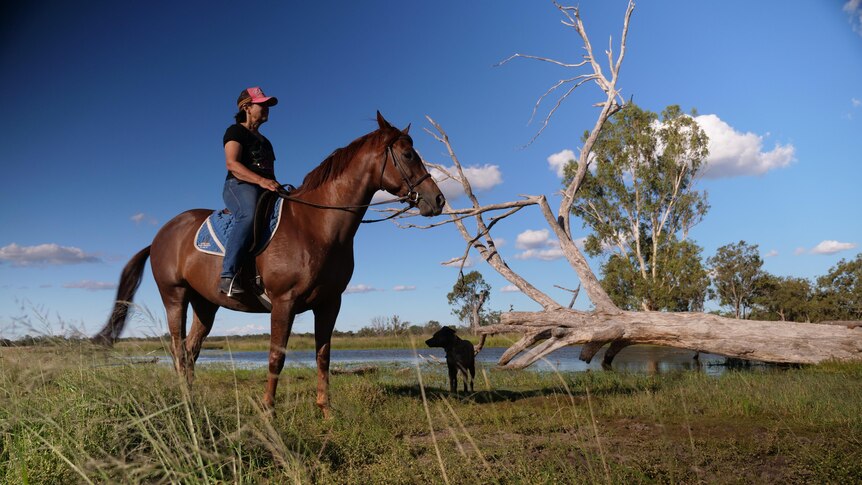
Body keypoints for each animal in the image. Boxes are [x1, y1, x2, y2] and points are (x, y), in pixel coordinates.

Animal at [96, 112, 446, 416]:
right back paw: (186, 402)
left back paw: (191, 401)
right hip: (175, 297)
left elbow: (323, 355)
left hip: (205, 304)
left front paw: (326, 411)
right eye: (408, 154)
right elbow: (276, 356)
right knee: (179, 350)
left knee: (192, 351)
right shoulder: (284, 302)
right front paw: (268, 411)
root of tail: (161, 236)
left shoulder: (330, 303)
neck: (316, 225)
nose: (438, 200)